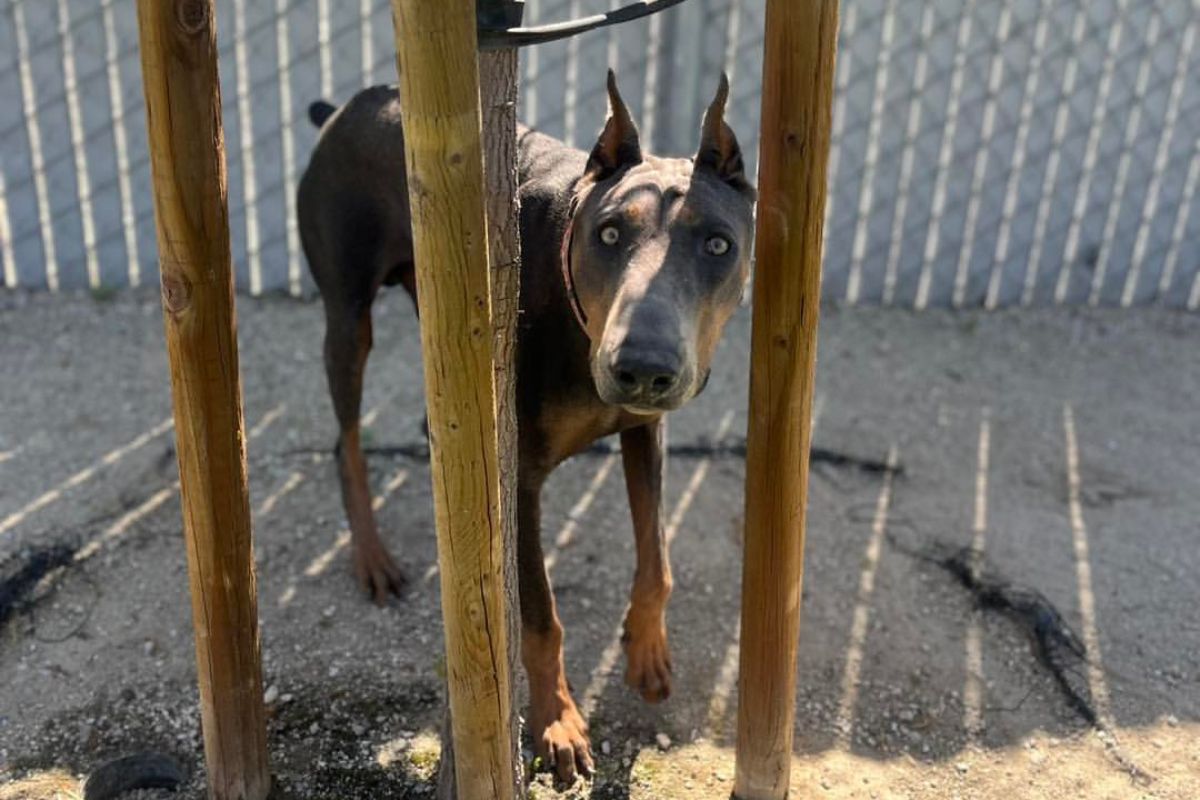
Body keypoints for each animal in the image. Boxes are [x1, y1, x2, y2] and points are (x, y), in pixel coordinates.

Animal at [297, 71, 748, 777]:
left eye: (719, 245)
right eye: (609, 234)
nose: (642, 368)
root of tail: (347, 105)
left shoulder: (644, 432)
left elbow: (657, 556)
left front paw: (646, 650)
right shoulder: (521, 479)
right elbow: (539, 616)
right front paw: (556, 721)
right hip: (348, 313)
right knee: (346, 439)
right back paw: (372, 556)